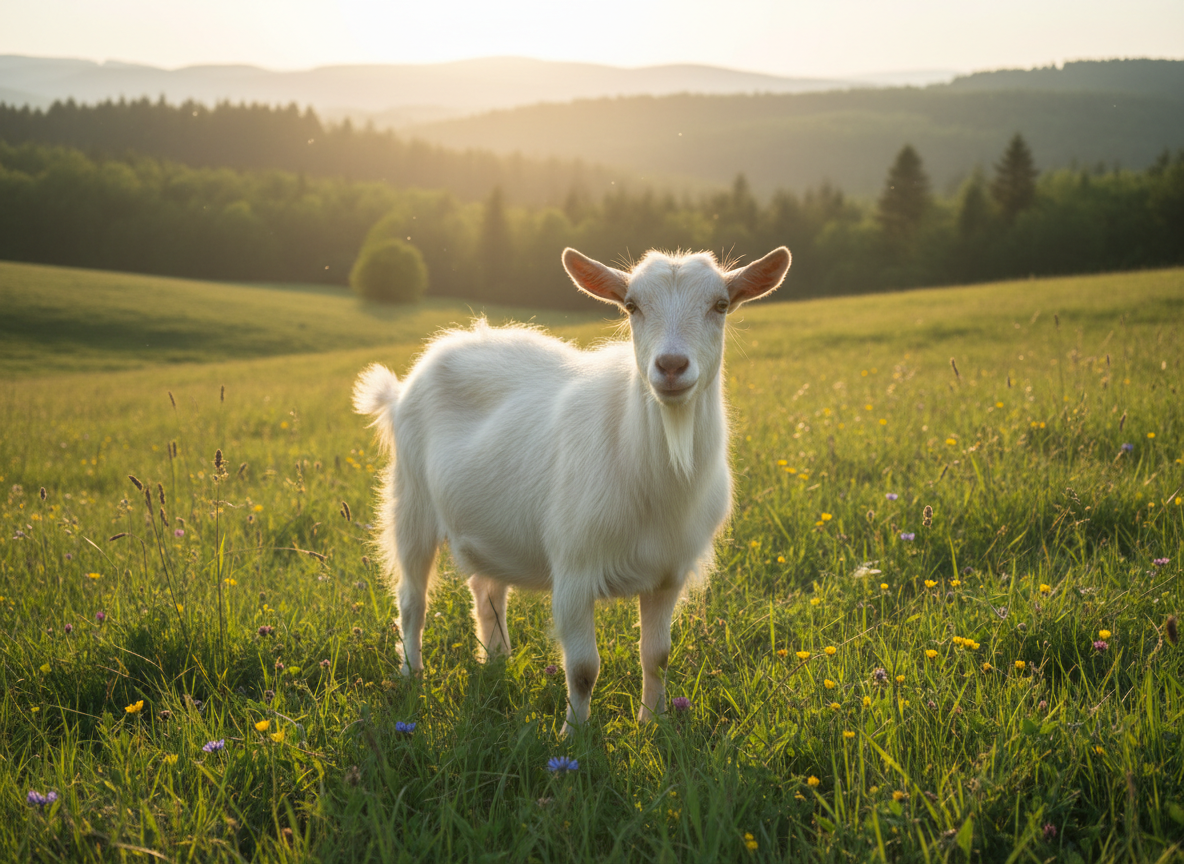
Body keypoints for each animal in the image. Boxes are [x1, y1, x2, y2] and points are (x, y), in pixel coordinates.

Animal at [353, 245, 790, 733]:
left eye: (720, 305)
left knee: (488, 591)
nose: (671, 366)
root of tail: (401, 391)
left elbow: (656, 655)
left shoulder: (667, 574)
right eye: (631, 306)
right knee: (413, 599)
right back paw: (412, 675)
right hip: (410, 502)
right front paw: (574, 736)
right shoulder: (574, 572)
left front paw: (653, 723)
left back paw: (497, 663)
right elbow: (583, 669)